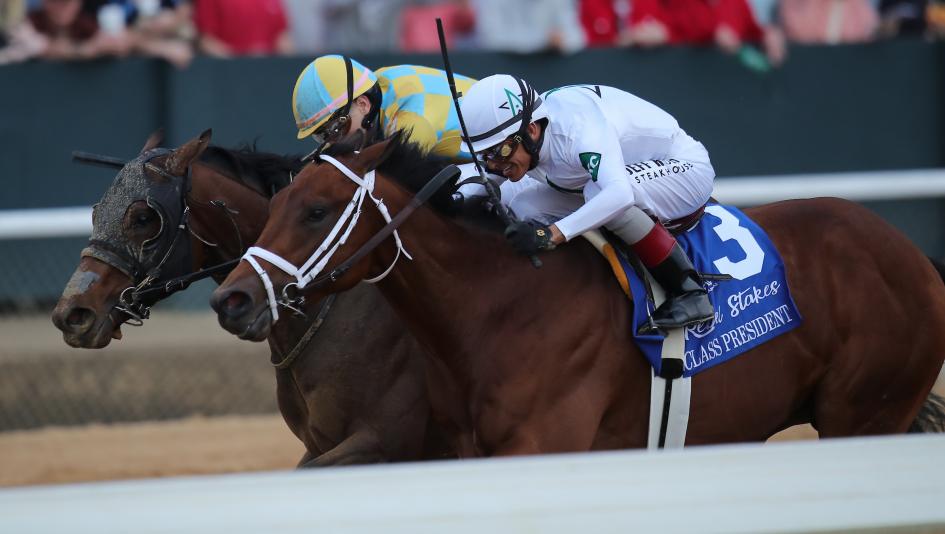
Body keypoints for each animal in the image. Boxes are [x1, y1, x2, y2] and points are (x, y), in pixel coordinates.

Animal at [210, 134, 945, 457]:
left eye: (315, 211)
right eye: (276, 204)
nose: (232, 301)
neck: (495, 308)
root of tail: (914, 255)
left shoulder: (544, 445)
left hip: (864, 414)